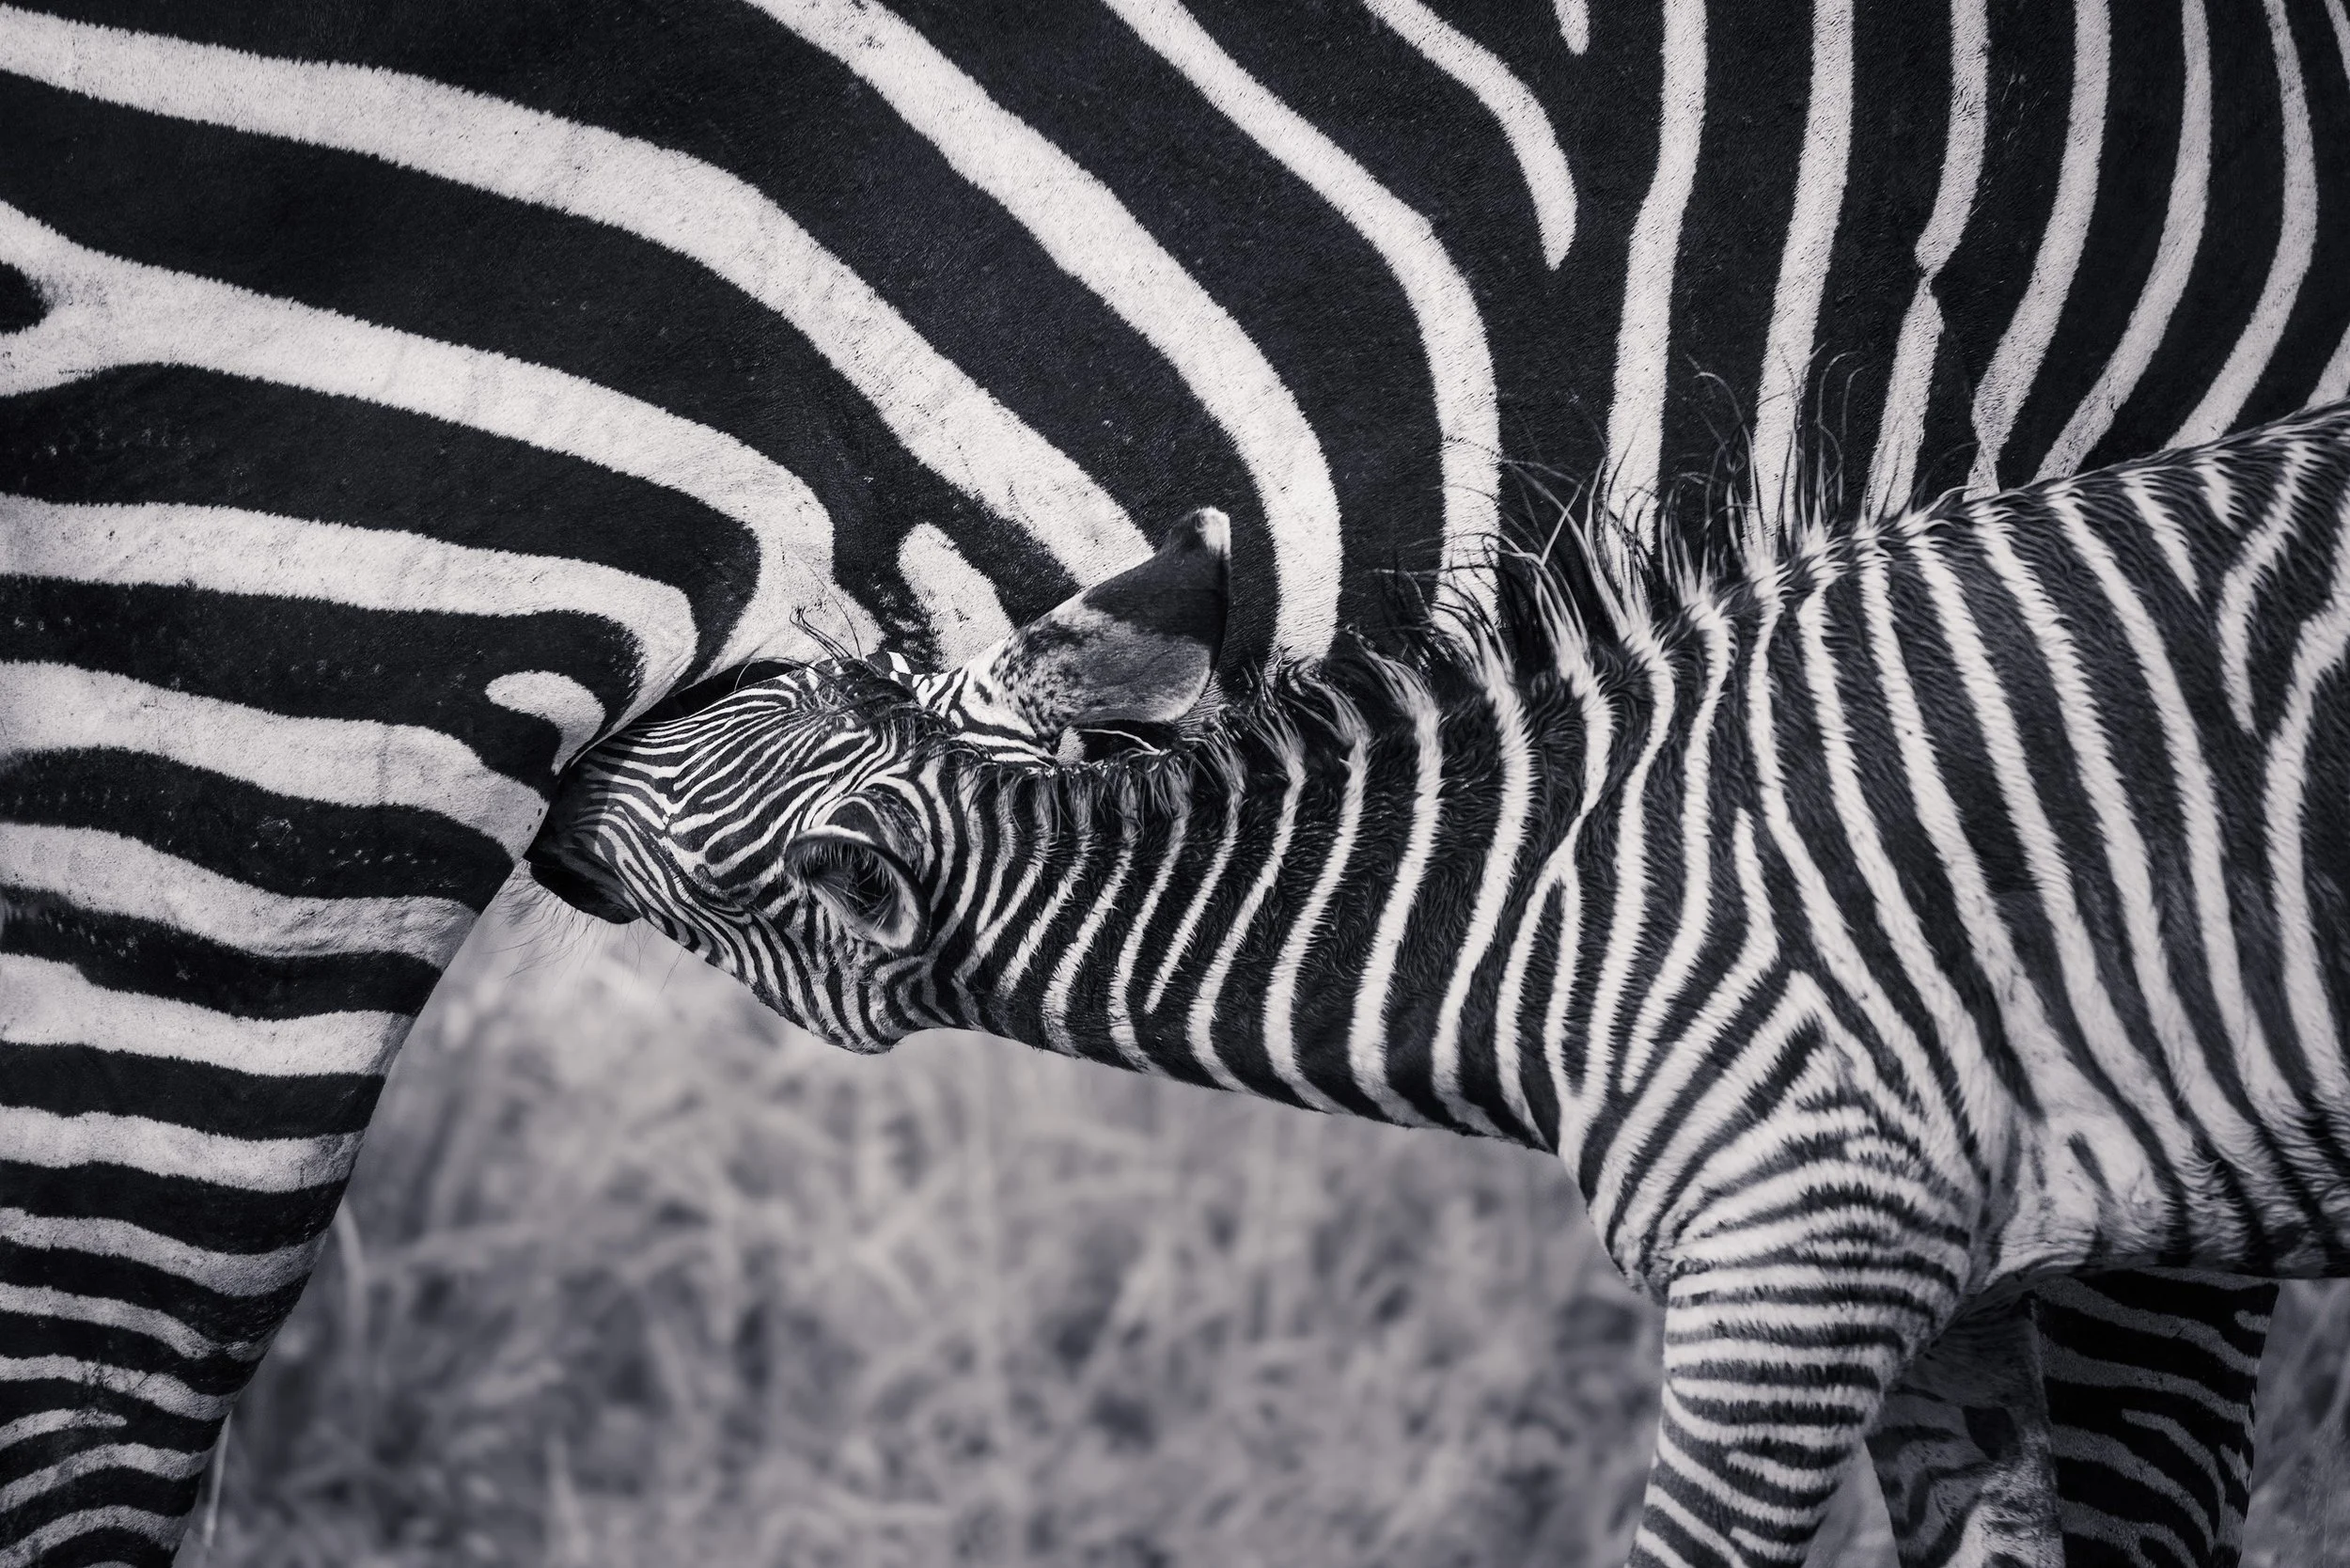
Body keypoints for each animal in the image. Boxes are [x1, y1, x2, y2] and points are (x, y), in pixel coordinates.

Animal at [533, 402, 2350, 1567]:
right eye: (778, 685)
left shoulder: (1801, 1256)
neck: (1545, 903)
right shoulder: (1953, 1285)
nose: (548, 792)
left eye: (711, 890)